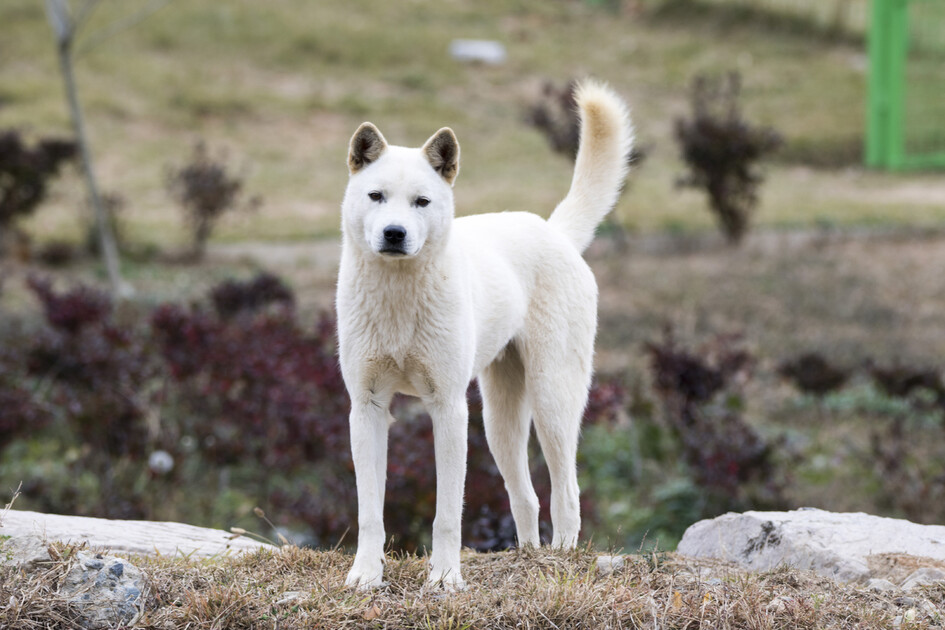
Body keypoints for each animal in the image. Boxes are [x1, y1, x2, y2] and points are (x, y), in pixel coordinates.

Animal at [336, 80, 632, 592]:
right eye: (375, 196)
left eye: (422, 202)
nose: (394, 234)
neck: (398, 298)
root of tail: (553, 231)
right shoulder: (367, 407)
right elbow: (371, 511)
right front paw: (365, 576)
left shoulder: (449, 409)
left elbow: (446, 515)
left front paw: (444, 579)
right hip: (499, 423)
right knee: (527, 497)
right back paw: (529, 555)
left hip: (552, 402)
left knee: (567, 492)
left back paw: (560, 557)